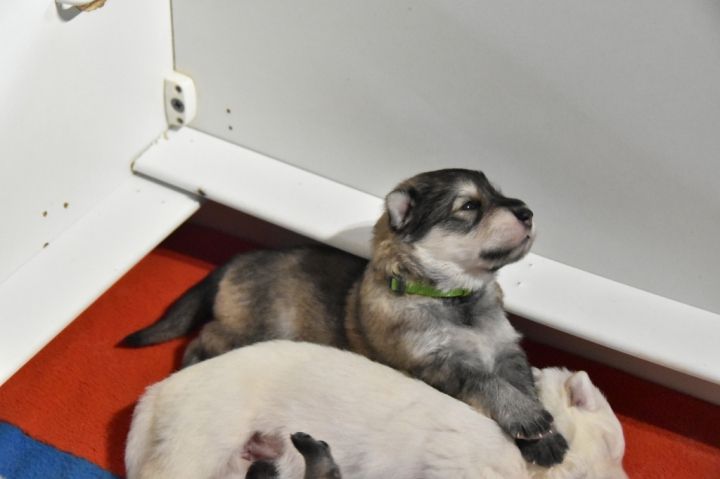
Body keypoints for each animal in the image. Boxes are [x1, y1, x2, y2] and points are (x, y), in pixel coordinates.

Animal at [122, 168, 567, 465]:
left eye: (498, 194)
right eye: (470, 206)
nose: (527, 211)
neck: (454, 297)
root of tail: (235, 261)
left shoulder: (506, 348)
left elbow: (520, 382)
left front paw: (545, 438)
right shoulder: (434, 364)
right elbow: (487, 383)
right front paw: (529, 419)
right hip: (256, 328)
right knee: (206, 336)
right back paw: (194, 360)